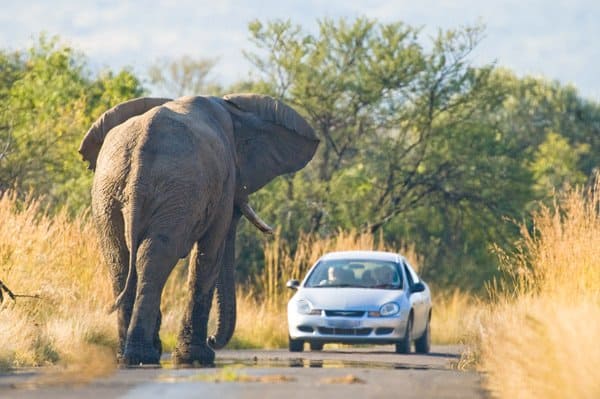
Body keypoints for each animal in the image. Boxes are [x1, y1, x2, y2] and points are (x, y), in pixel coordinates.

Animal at [81, 93, 318, 366]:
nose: (213, 339)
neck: (234, 112)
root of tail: (140, 153)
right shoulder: (224, 183)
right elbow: (211, 251)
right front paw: (198, 357)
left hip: (110, 194)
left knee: (119, 260)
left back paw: (130, 355)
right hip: (172, 191)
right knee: (153, 258)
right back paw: (143, 355)